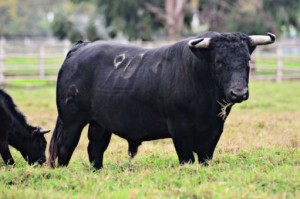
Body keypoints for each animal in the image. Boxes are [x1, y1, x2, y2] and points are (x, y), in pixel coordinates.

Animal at [49, 31, 276, 169]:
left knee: (95, 148)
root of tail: (82, 47)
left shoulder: (214, 130)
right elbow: (186, 158)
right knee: (65, 147)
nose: (238, 93)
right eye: (219, 61)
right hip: (71, 120)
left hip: (100, 123)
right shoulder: (180, 130)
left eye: (247, 60)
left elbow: (204, 157)